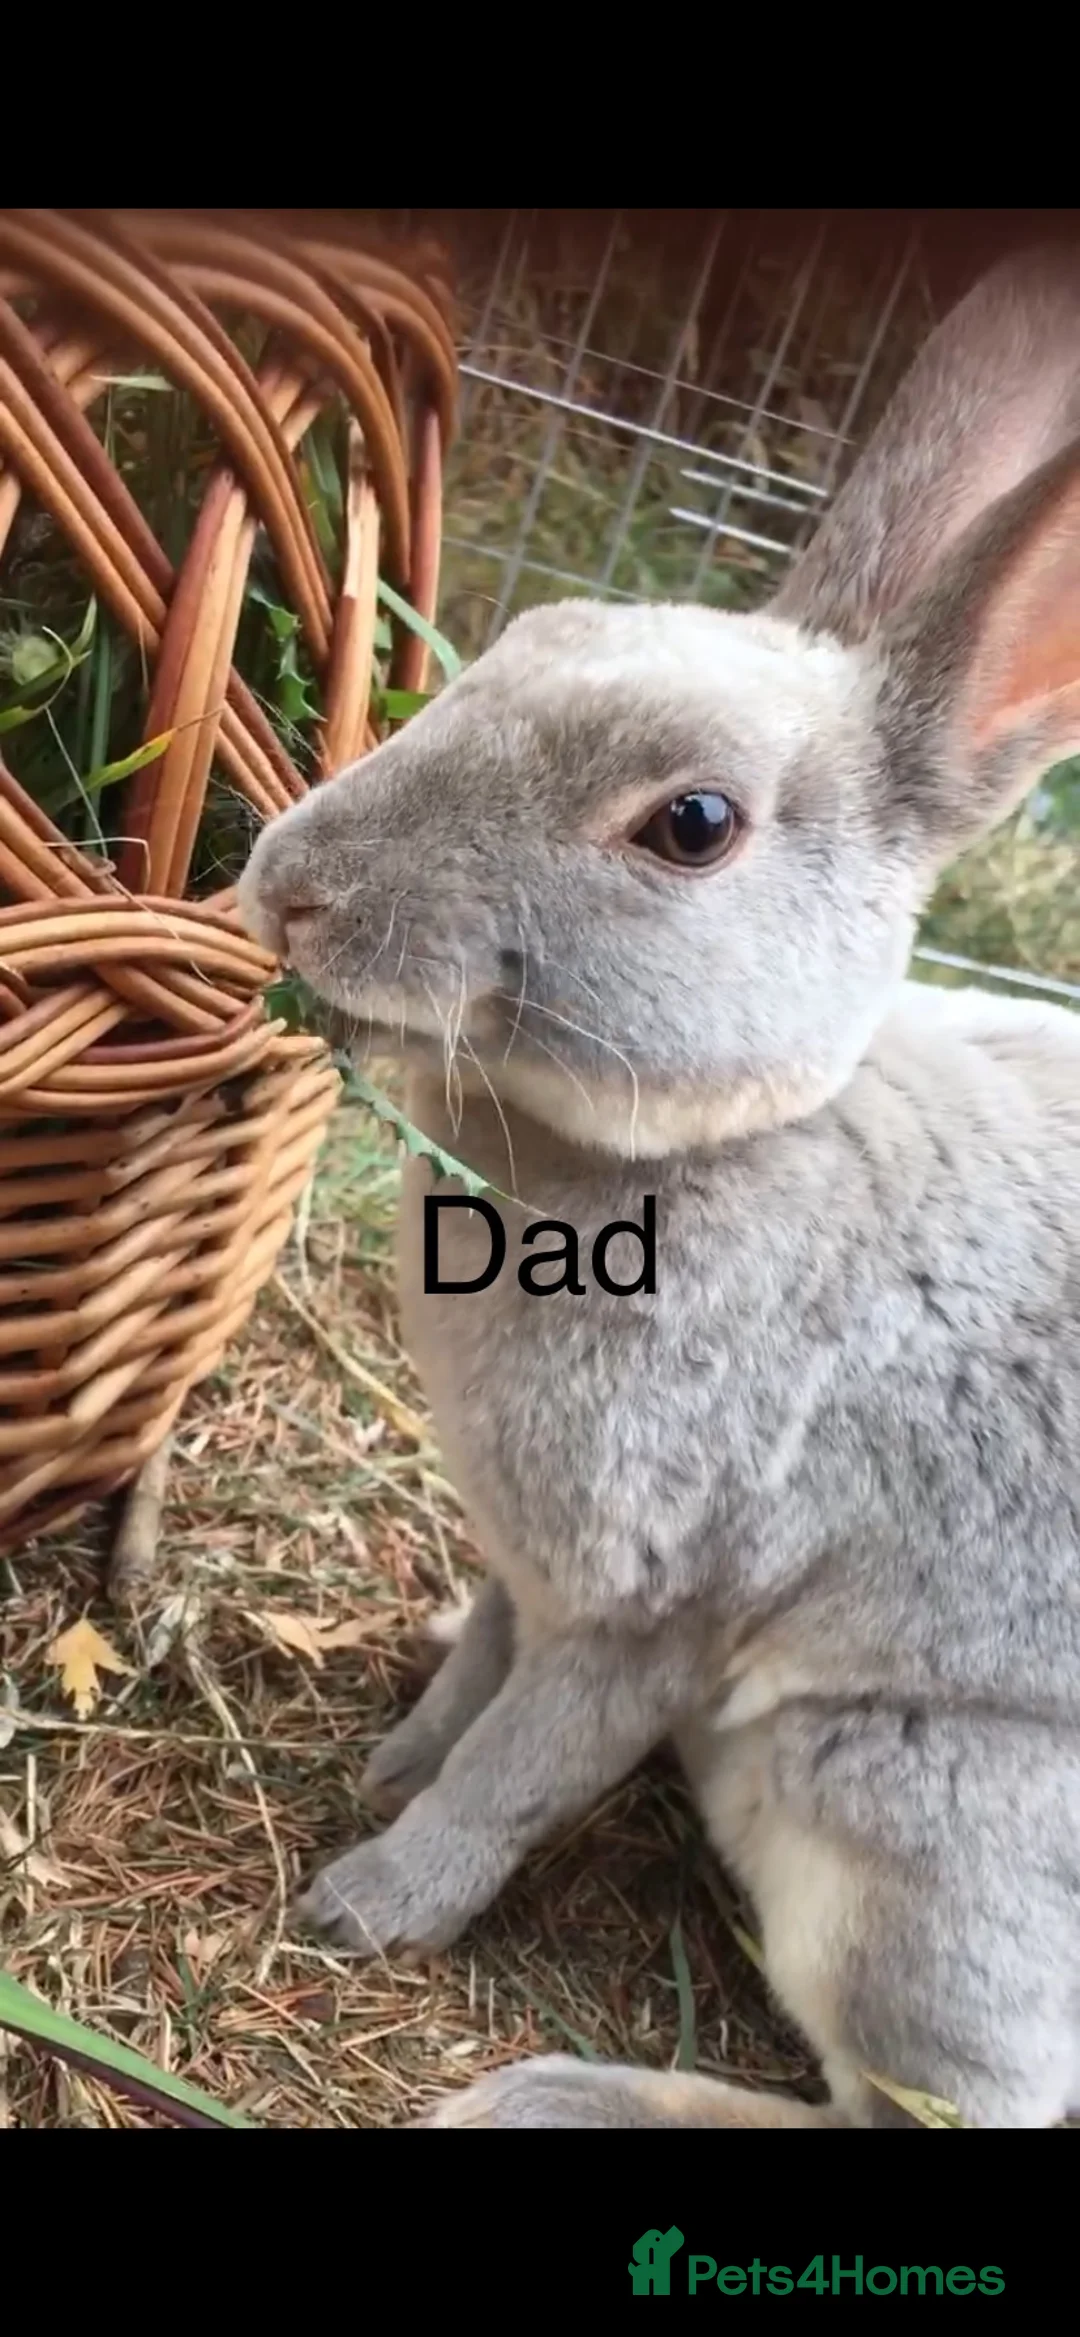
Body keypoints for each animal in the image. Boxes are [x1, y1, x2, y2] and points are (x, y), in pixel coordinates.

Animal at [238, 244, 1080, 2130]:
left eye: (690, 824)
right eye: (517, 646)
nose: (289, 884)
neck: (702, 1153)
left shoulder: (648, 1606)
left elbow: (519, 1766)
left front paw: (365, 1897)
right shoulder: (519, 1556)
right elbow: (474, 1680)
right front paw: (386, 1756)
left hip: (904, 1826)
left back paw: (544, 2096)